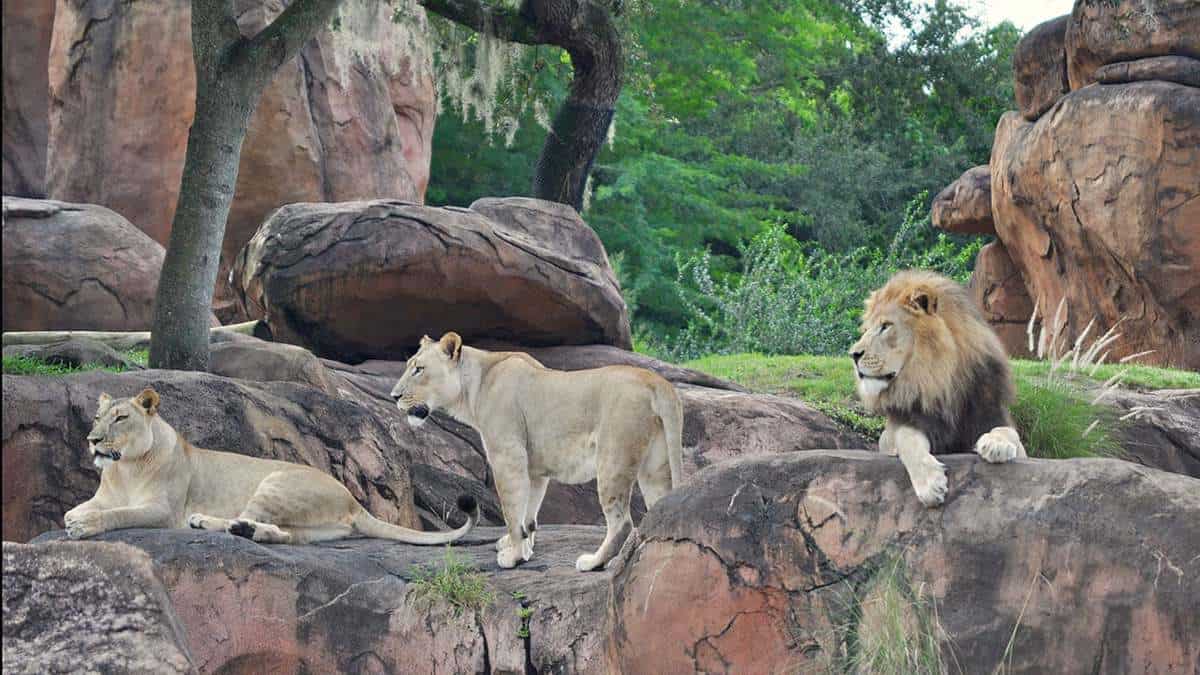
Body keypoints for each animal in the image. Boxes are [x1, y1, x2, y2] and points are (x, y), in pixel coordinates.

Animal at [63, 387, 479, 544]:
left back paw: (208, 522)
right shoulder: (107, 494)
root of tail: (353, 501)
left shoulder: (163, 510)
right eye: (97, 417)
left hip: (276, 482)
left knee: (252, 518)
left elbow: (120, 515)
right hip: (310, 528)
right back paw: (245, 530)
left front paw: (82, 525)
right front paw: (73, 517)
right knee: (283, 535)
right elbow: (84, 507)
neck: (125, 469)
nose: (92, 440)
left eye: (120, 418)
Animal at [390, 332, 684, 572]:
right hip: (654, 465)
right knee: (660, 509)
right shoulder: (534, 468)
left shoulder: (508, 456)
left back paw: (594, 562)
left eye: (418, 369)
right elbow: (527, 513)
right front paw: (523, 546)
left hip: (613, 458)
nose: (393, 396)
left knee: (622, 522)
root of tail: (657, 381)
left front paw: (514, 557)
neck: (475, 385)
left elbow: (511, 511)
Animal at [849, 270, 1026, 506]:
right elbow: (906, 437)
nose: (853, 354)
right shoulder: (895, 431)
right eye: (866, 330)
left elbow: (1009, 432)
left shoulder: (994, 416)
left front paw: (996, 445)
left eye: (886, 326)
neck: (938, 382)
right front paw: (930, 485)